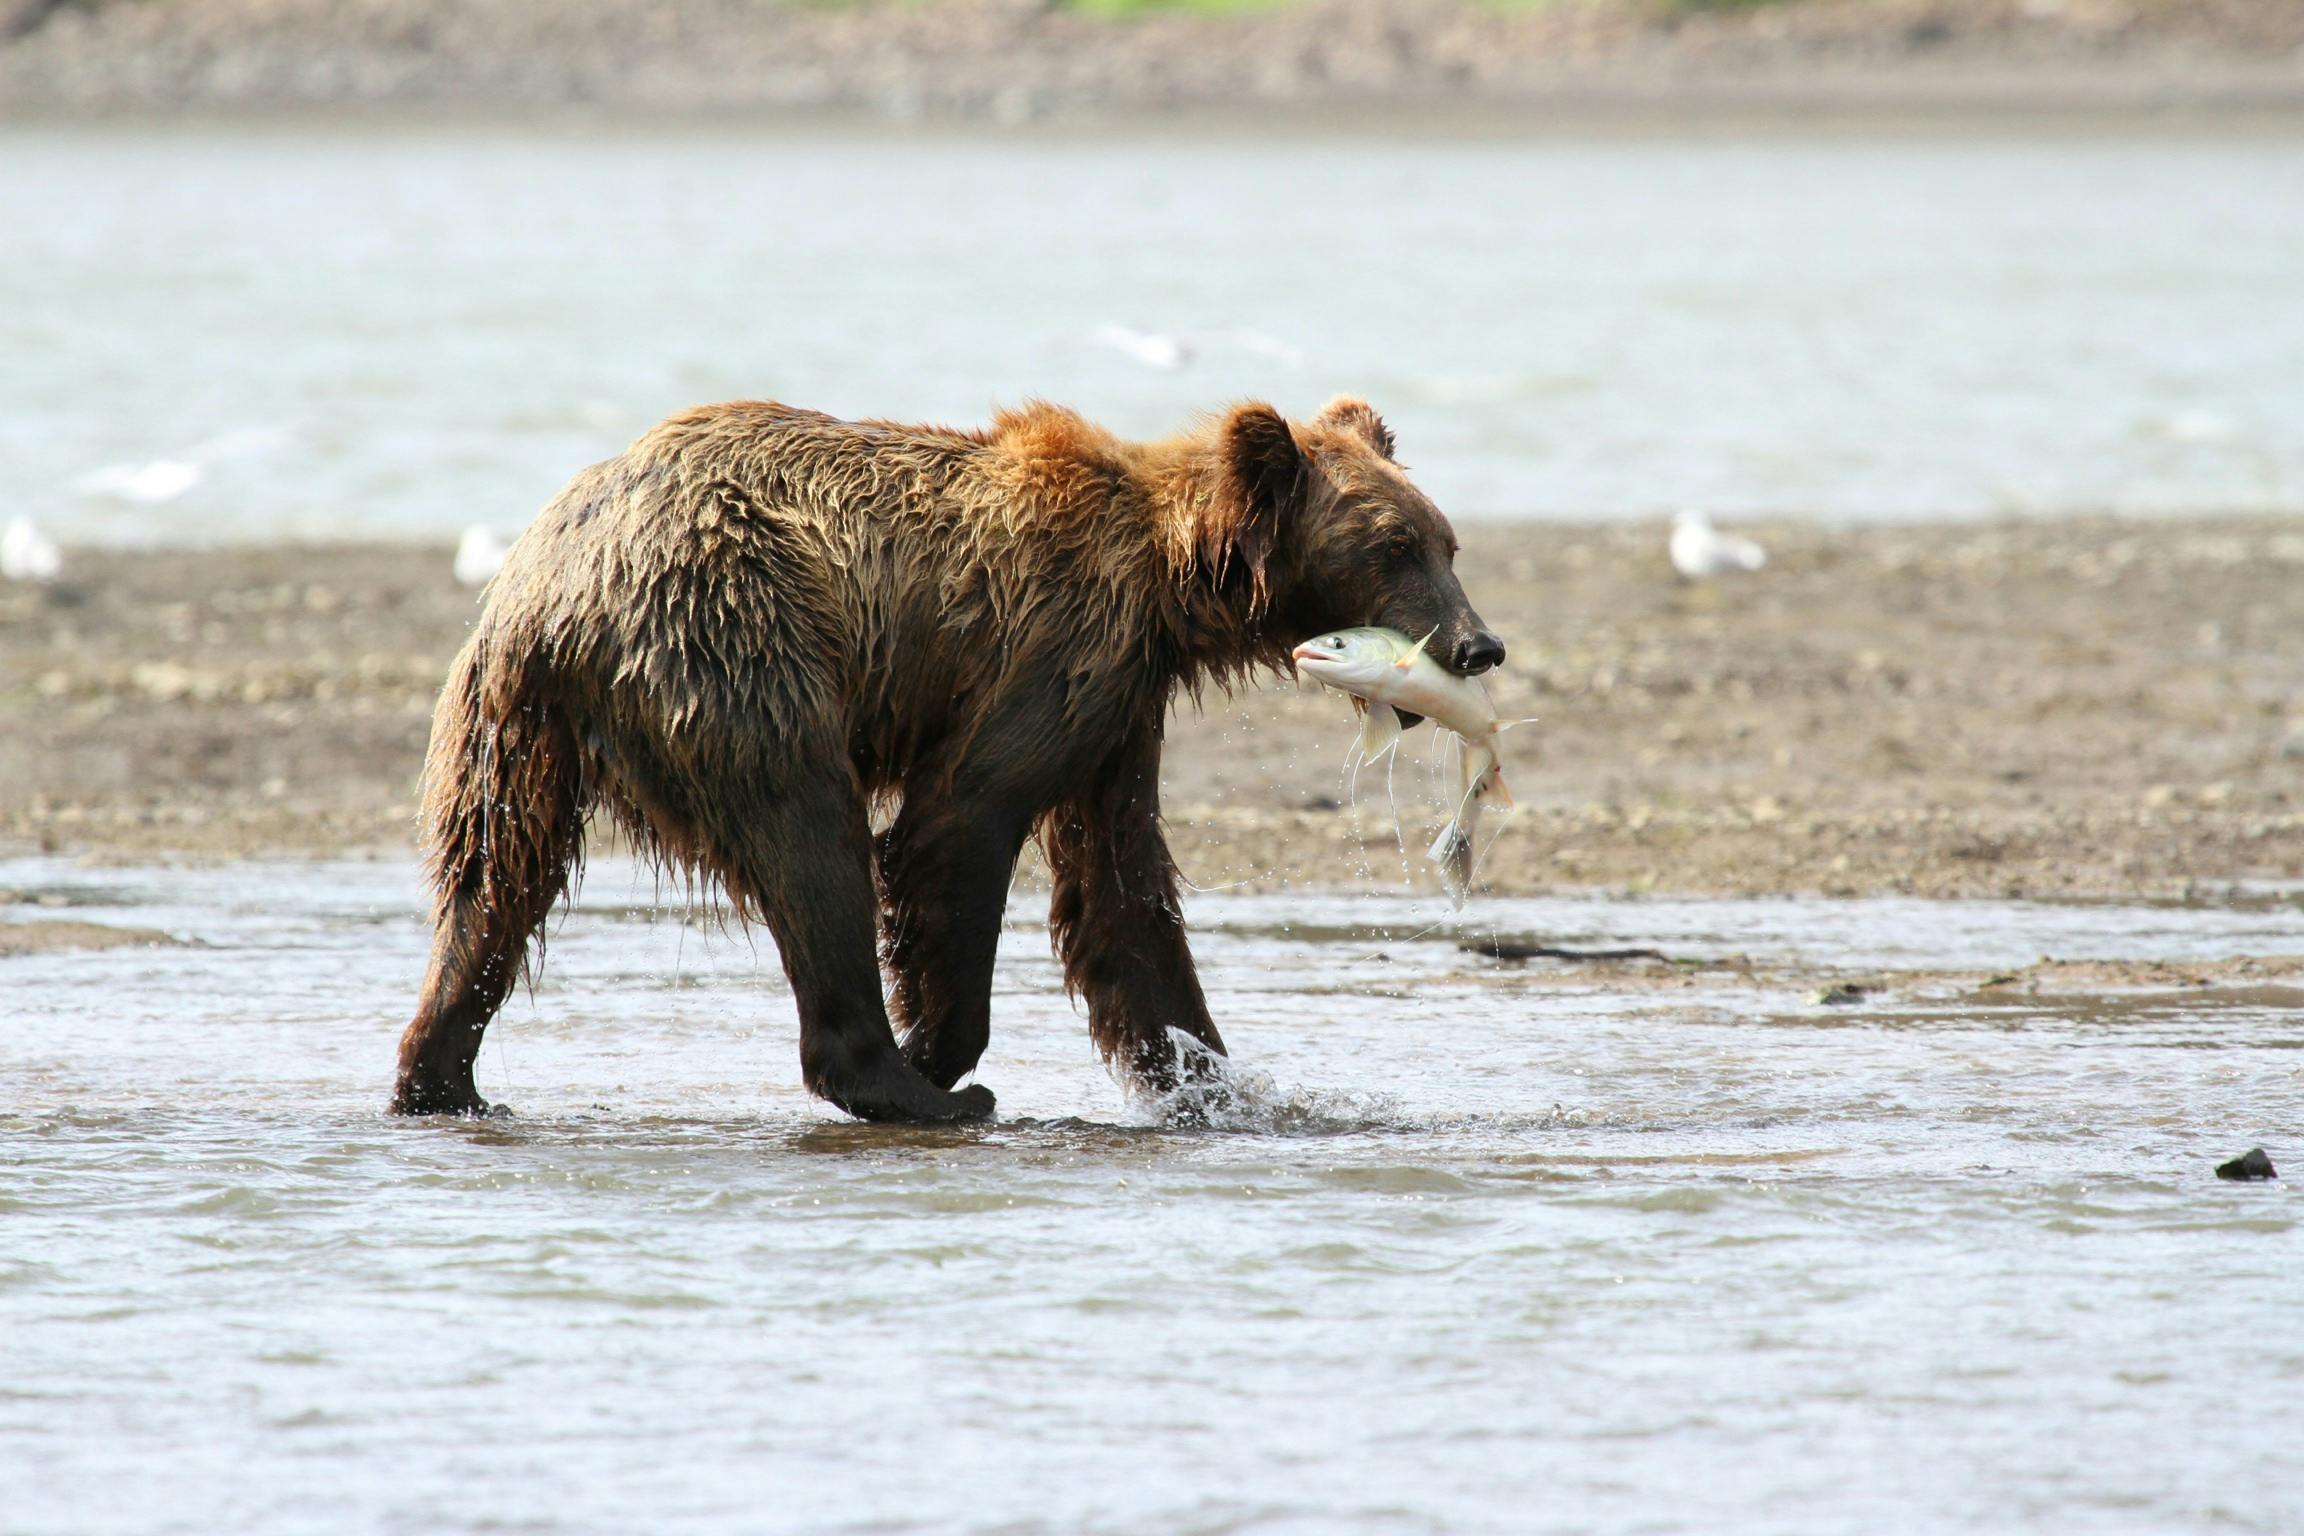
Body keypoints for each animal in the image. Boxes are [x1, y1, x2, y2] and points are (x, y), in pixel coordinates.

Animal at [392, 395, 1504, 1123]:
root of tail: (550, 590)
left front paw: (1219, 1079)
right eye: (1395, 546)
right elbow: (959, 822)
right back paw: (912, 1089)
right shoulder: (1057, 646)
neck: (1173, 581)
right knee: (810, 840)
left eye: (1446, 541)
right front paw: (942, 1051)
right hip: (734, 643)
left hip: (511, 728)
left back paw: (443, 1079)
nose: (1478, 645)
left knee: (491, 882)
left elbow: (1122, 893)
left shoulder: (1119, 706)